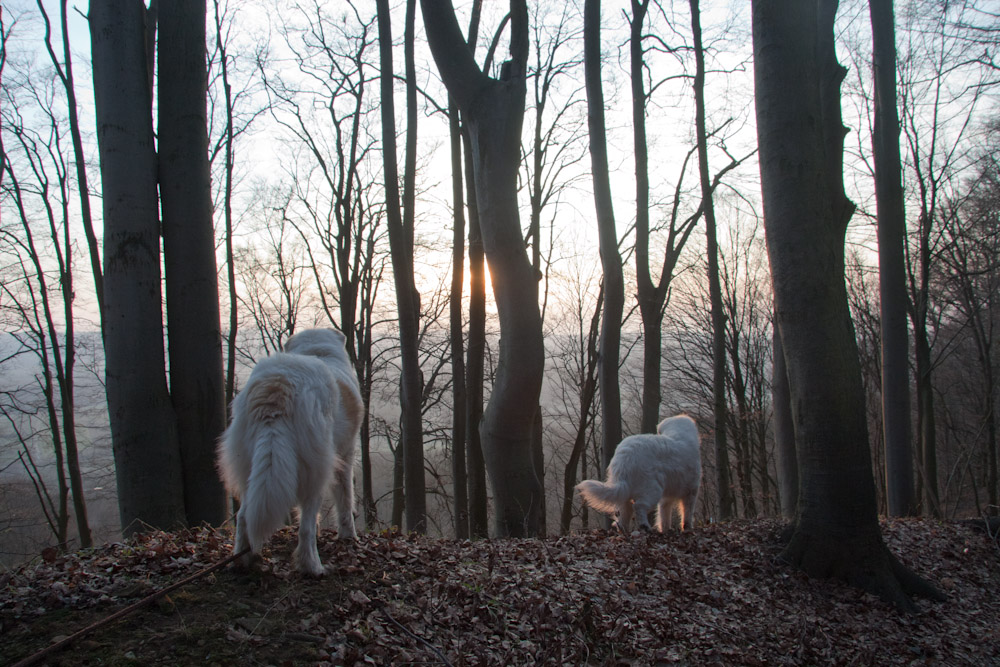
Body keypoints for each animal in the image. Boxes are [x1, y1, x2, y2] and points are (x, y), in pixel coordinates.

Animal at [217, 328, 362, 576]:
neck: (318, 352)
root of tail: (279, 384)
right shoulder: (345, 456)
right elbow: (345, 500)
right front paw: (348, 536)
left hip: (249, 464)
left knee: (243, 516)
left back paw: (244, 560)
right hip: (318, 467)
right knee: (305, 526)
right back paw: (313, 567)